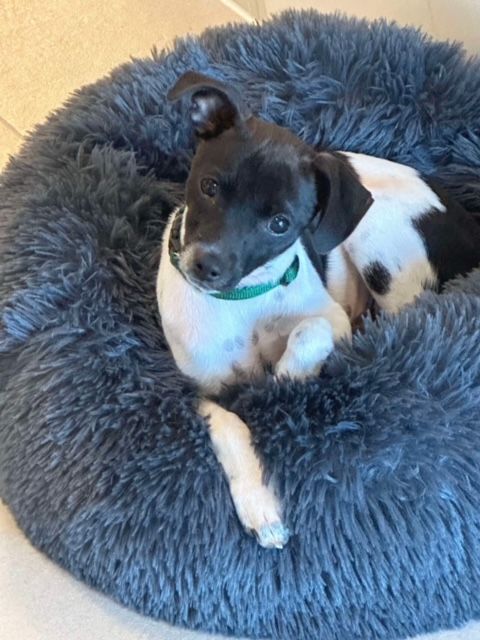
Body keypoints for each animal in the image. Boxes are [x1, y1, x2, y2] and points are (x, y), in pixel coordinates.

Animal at [158, 70, 480, 552]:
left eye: (280, 225)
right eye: (209, 187)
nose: (204, 266)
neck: (245, 300)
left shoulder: (332, 319)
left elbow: (309, 333)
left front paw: (290, 376)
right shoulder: (201, 389)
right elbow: (228, 426)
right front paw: (260, 503)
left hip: (379, 241)